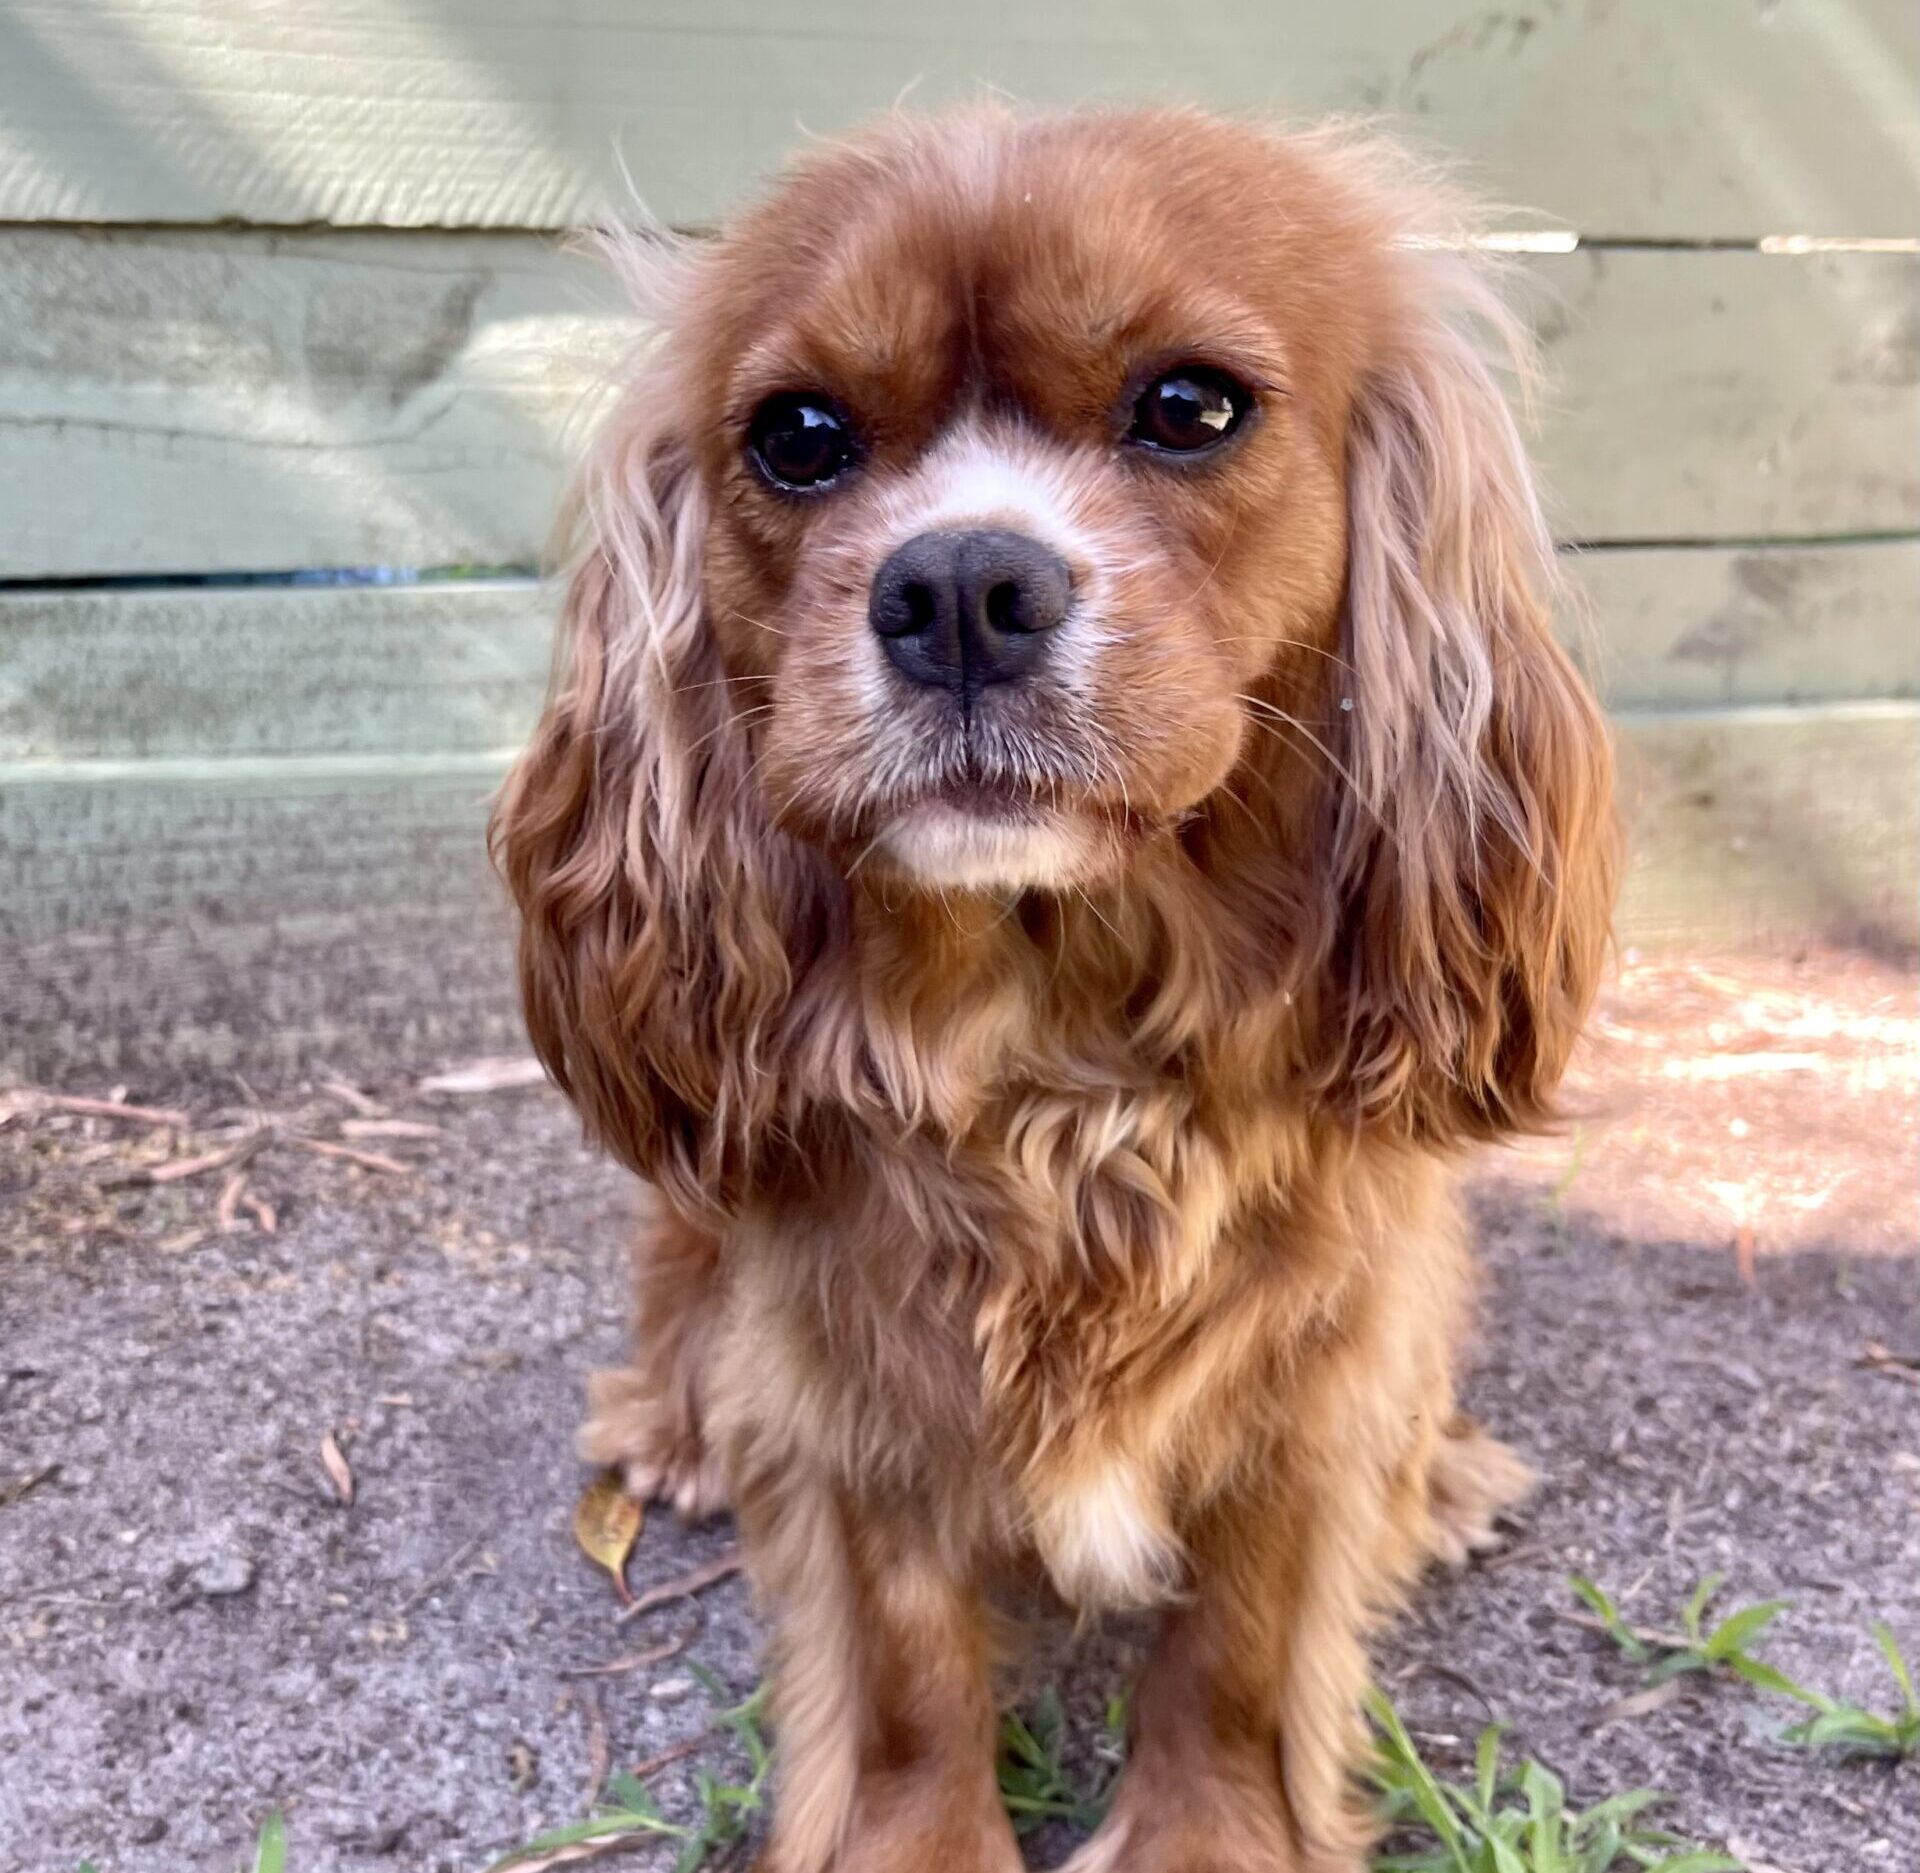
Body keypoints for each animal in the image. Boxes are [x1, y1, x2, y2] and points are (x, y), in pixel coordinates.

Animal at [495, 106, 1620, 1873]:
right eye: (798, 436)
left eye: (1190, 407)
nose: (959, 583)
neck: (1061, 1049)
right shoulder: (851, 1385)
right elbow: (903, 1670)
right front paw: (914, 1839)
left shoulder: (1321, 1364)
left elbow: (1241, 1641)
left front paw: (1215, 1834)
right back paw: (674, 1432)